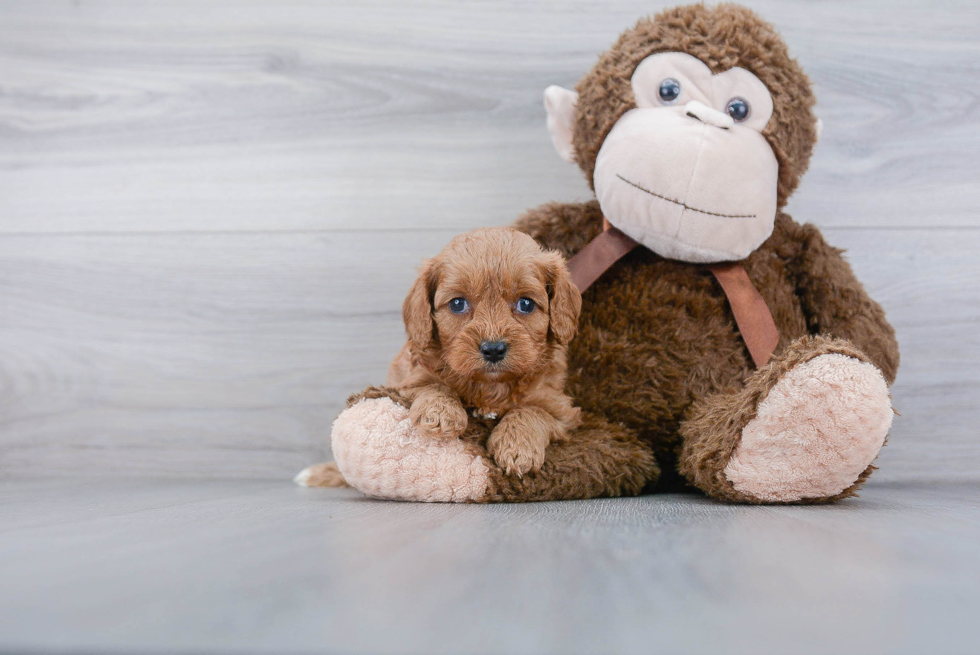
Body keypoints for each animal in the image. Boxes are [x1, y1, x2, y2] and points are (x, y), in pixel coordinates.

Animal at [390, 227, 580, 476]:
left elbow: (532, 410)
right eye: (457, 304)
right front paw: (440, 412)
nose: (493, 349)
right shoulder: (408, 381)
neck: (491, 387)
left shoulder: (559, 407)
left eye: (526, 304)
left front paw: (517, 447)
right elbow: (434, 385)